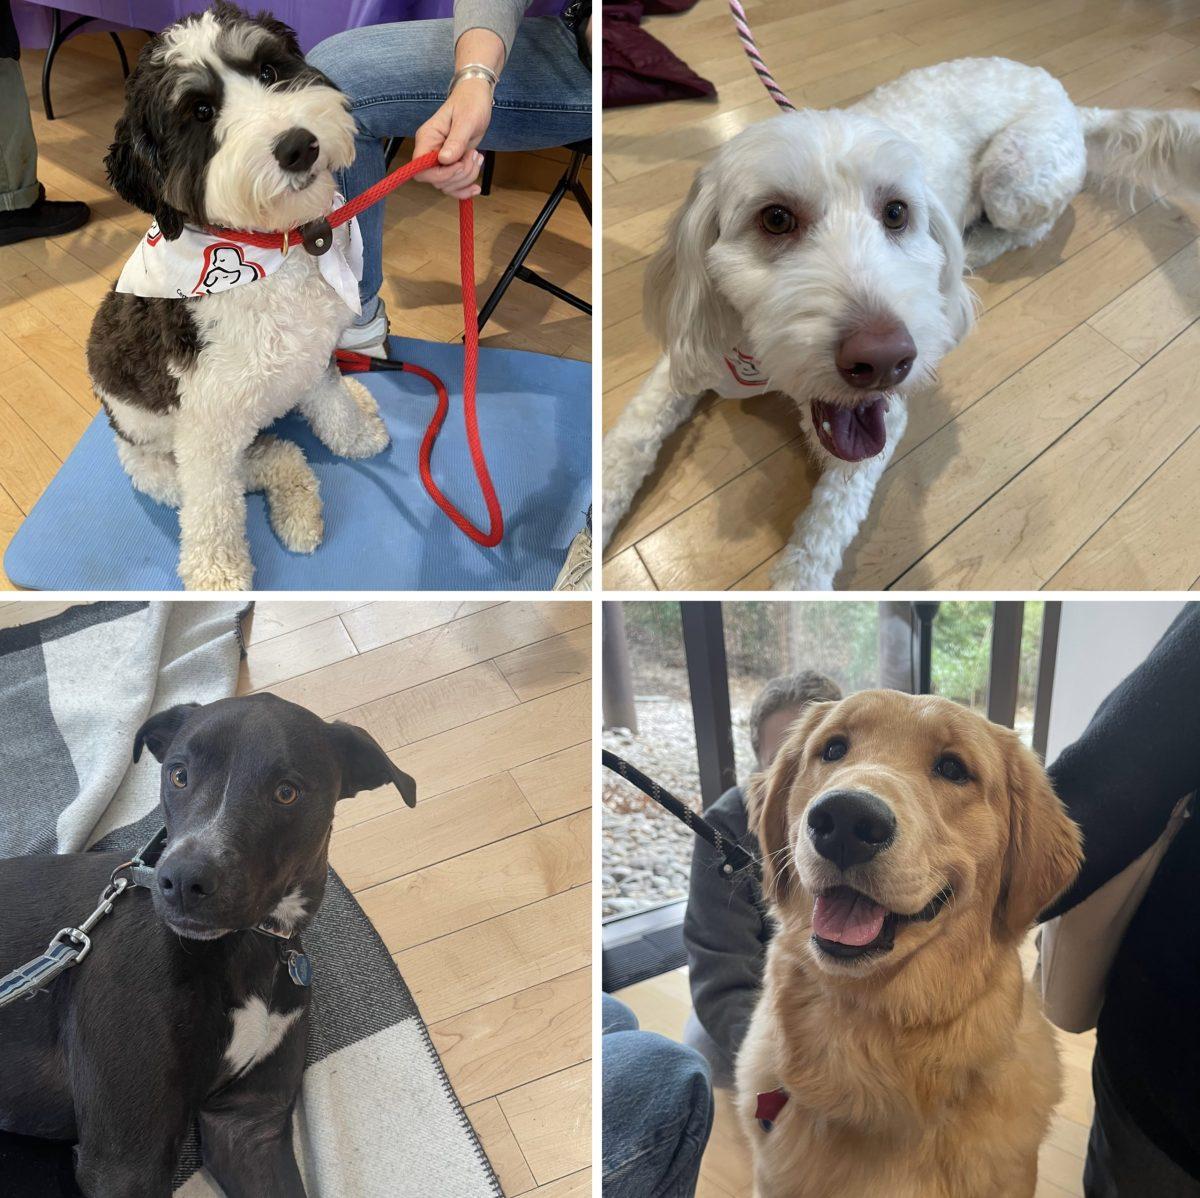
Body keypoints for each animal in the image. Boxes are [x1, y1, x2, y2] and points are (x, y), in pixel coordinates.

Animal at [0, 696, 417, 1198]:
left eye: (287, 792)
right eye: (178, 775)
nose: (181, 881)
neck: (250, 946)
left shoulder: (248, 1125)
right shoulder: (126, 1162)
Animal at [89, 2, 388, 592]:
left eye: (269, 71)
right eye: (201, 112)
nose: (298, 145)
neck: (270, 253)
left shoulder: (312, 356)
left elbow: (334, 405)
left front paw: (358, 434)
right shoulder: (205, 431)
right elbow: (213, 510)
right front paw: (217, 570)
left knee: (280, 447)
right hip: (157, 462)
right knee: (254, 467)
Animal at [604, 58, 1200, 592]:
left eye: (896, 212)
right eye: (775, 218)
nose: (885, 359)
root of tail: (1069, 101)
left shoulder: (880, 426)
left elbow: (824, 530)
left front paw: (798, 589)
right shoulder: (690, 353)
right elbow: (626, 444)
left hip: (1014, 178)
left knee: (1032, 228)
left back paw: (971, 255)